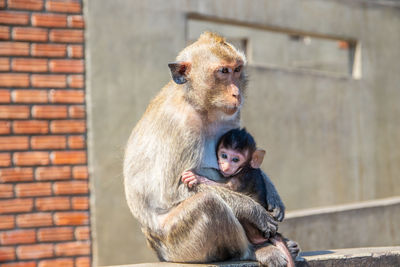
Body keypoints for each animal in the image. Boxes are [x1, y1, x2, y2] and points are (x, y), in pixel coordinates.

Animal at [180, 129, 296, 266]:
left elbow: (228, 188)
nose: (225, 166)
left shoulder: (244, 175)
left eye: (235, 159)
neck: (246, 167)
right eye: (224, 155)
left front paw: (196, 177)